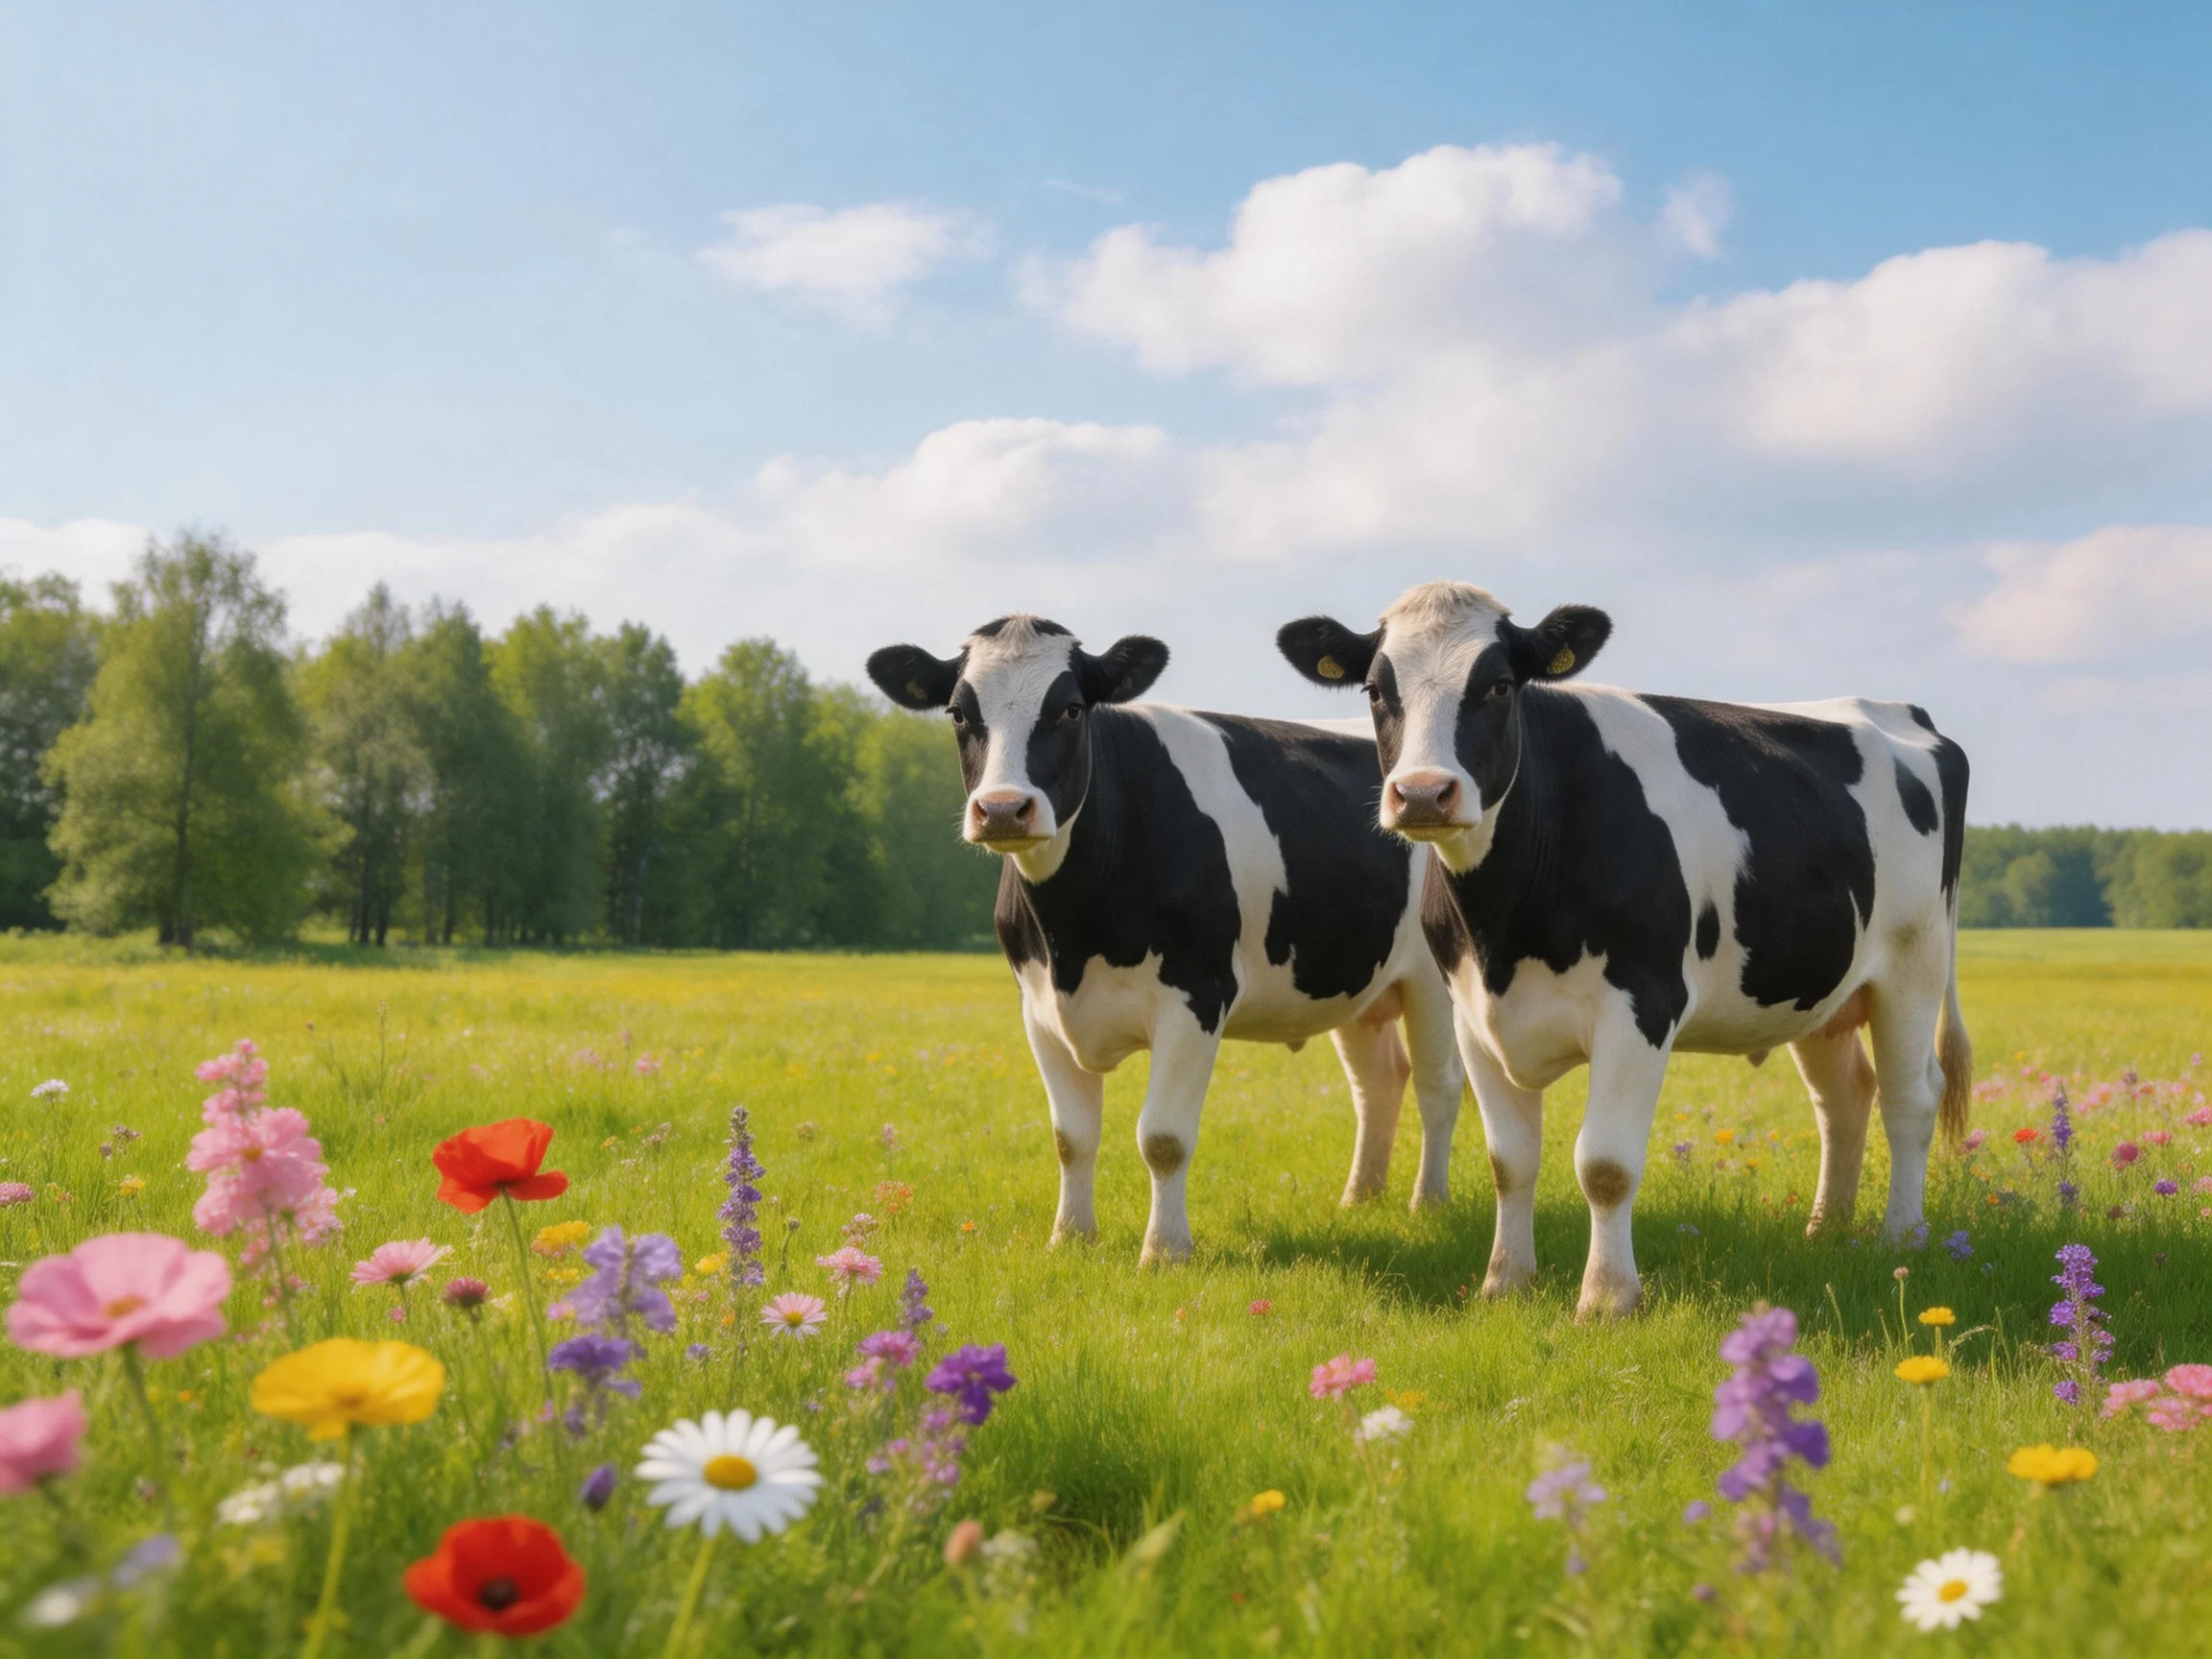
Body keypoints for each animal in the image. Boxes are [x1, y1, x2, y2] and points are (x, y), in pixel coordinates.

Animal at [866, 615, 1465, 1265]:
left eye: (1072, 708)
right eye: (957, 712)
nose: (1002, 809)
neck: (1073, 937)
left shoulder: (1197, 993)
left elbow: (1163, 1137)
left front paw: (1166, 1251)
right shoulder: (1039, 1008)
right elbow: (1071, 1136)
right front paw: (1070, 1237)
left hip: (1432, 980)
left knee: (1438, 1084)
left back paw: (1429, 1203)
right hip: (1354, 979)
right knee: (1378, 1082)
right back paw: (1360, 1198)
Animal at [1277, 582, 1972, 1318]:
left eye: (1499, 685)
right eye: (1375, 691)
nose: (1422, 793)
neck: (1505, 924)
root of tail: (1898, 709)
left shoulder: (1641, 1005)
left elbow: (1605, 1165)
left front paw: (1607, 1299)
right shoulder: (1471, 1013)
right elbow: (1509, 1161)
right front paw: (1505, 1283)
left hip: (1913, 967)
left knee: (1910, 1098)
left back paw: (1902, 1239)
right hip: (1819, 987)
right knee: (1845, 1097)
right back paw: (1825, 1231)